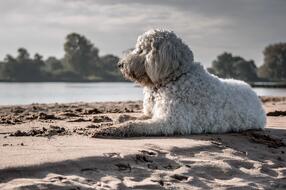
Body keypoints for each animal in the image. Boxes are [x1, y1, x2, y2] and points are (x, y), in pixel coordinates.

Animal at [94, 28, 266, 137]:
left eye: (141, 50)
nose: (120, 64)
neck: (174, 77)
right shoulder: (152, 113)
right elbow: (137, 117)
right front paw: (120, 117)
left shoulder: (171, 121)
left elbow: (135, 125)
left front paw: (112, 129)